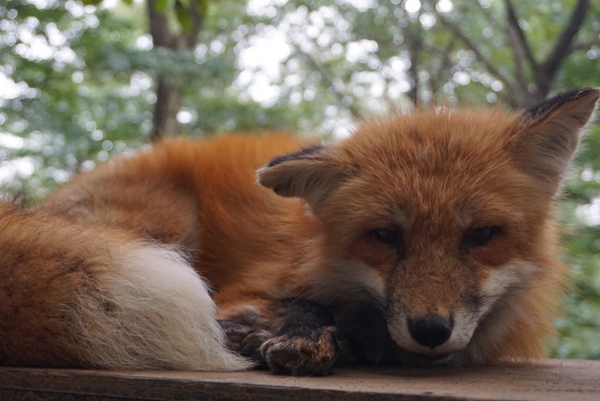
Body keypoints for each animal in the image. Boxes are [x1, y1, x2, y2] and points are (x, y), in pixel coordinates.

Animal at [0, 87, 596, 376]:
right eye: (386, 236)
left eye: (481, 236)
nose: (430, 329)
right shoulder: (242, 285)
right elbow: (298, 304)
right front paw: (296, 334)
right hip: (165, 225)